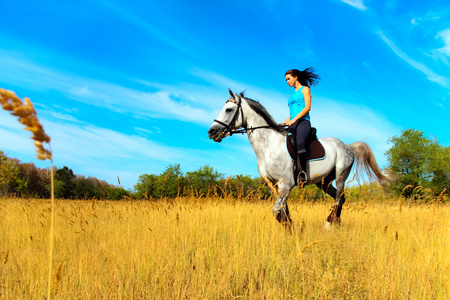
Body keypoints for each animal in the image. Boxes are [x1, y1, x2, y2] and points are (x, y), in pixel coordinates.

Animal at [207, 89, 386, 227]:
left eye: (228, 109)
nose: (211, 132)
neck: (269, 145)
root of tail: (348, 147)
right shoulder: (272, 185)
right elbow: (282, 211)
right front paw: (293, 230)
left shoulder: (286, 183)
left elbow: (277, 211)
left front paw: (295, 231)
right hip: (324, 182)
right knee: (340, 198)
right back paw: (336, 223)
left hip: (341, 175)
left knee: (338, 198)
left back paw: (329, 224)